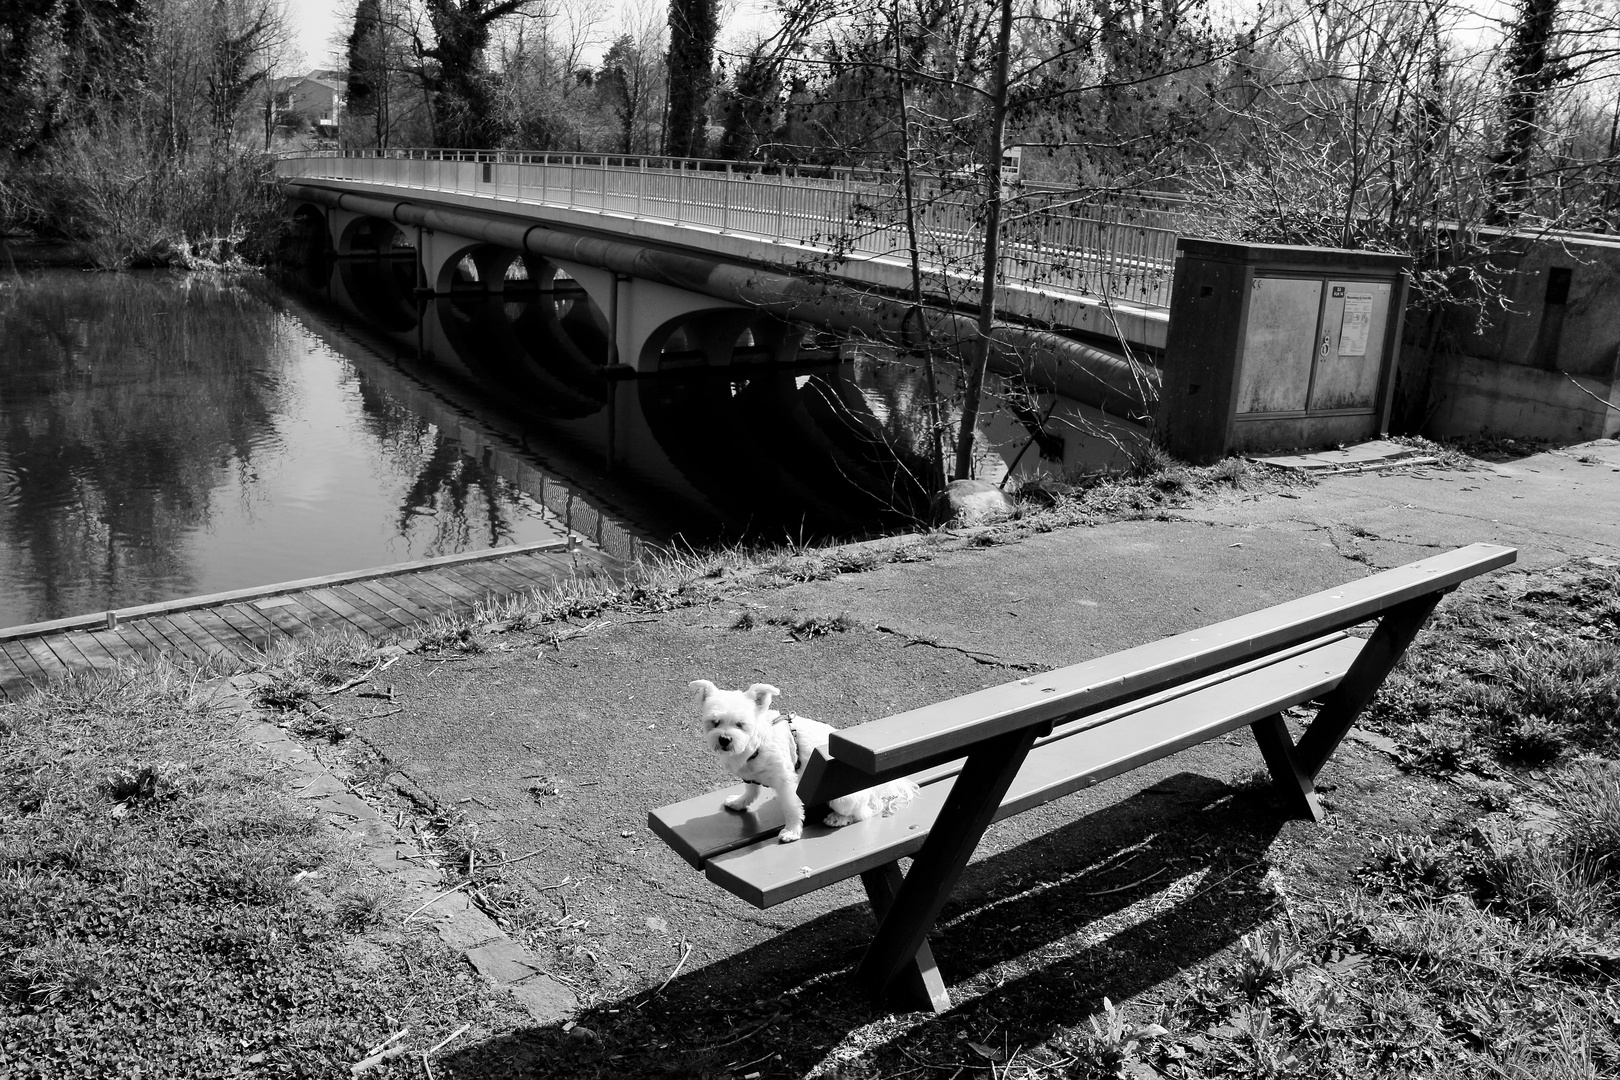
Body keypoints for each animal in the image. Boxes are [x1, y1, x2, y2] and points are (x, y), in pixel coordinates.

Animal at [690, 683, 920, 841]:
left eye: (740, 724)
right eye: (714, 722)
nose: (724, 739)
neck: (756, 744)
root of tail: (874, 786)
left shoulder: (786, 783)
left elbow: (791, 808)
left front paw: (792, 831)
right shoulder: (750, 776)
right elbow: (750, 791)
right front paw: (740, 801)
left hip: (842, 798)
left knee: (864, 813)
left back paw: (839, 818)